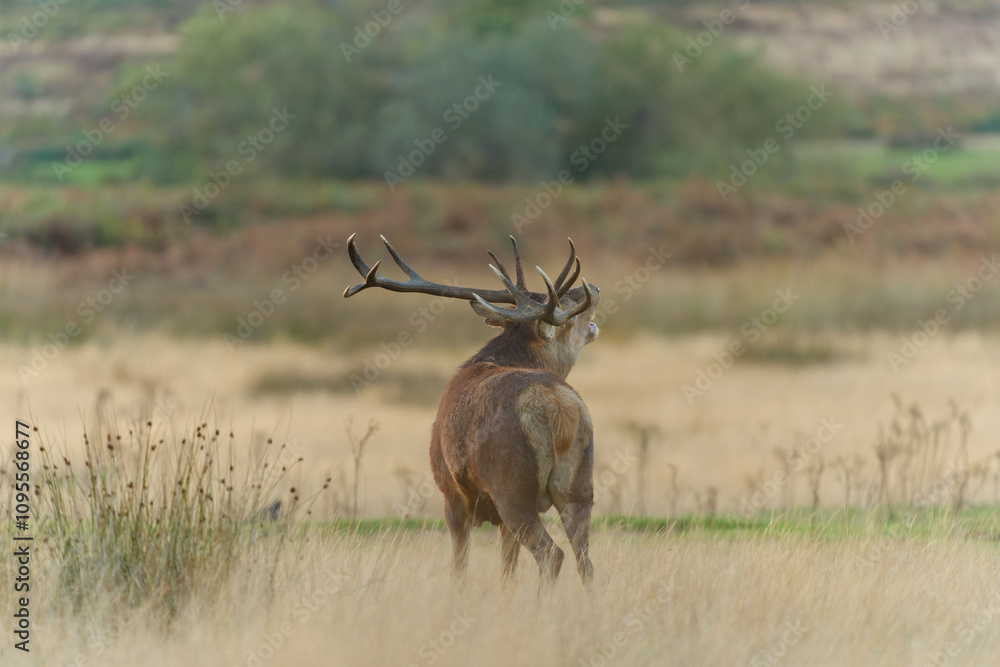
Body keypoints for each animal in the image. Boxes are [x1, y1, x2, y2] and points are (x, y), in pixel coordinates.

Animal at [344, 234, 600, 586]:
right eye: (569, 310)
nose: (595, 289)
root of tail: (556, 408)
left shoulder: (450, 492)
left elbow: (459, 569)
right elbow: (506, 572)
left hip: (511, 485)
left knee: (551, 555)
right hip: (579, 485)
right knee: (584, 561)